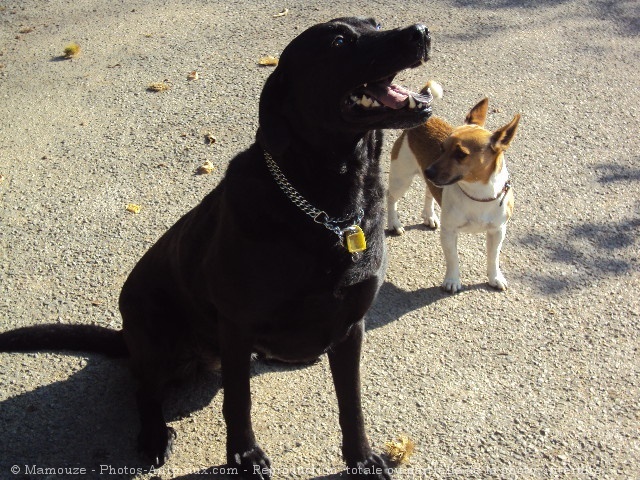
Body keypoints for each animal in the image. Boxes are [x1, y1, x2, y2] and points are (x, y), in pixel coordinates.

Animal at [0, 16, 432, 478]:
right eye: (337, 42)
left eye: (374, 23)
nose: (420, 31)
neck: (328, 210)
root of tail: (126, 335)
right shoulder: (237, 327)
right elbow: (237, 402)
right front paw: (244, 456)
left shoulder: (351, 326)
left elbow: (351, 403)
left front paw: (361, 458)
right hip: (155, 335)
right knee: (143, 391)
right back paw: (154, 435)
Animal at [384, 91, 520, 290]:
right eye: (441, 148)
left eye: (461, 154)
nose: (428, 171)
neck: (477, 194)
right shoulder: (449, 232)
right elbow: (453, 258)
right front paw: (452, 281)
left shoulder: (497, 232)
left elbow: (493, 257)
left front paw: (495, 278)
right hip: (401, 179)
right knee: (391, 199)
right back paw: (394, 223)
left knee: (429, 192)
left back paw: (429, 216)